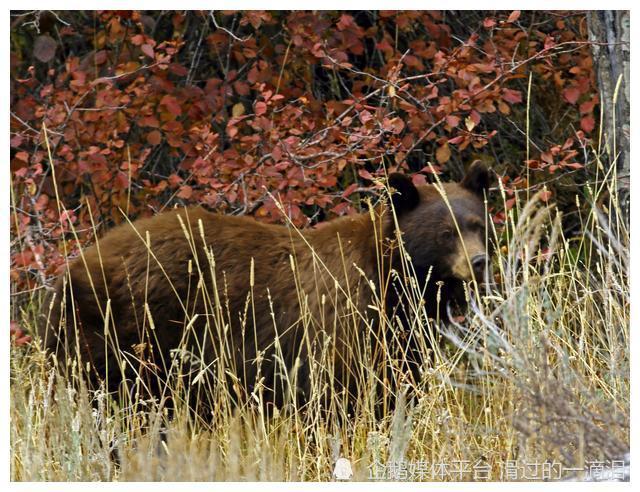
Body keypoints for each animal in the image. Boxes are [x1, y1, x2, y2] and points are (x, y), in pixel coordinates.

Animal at [40, 161, 490, 412]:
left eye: (477, 224)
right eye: (446, 233)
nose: (479, 262)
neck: (392, 277)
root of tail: (73, 269)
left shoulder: (400, 331)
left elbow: (398, 377)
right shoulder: (342, 324)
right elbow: (344, 394)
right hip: (133, 337)